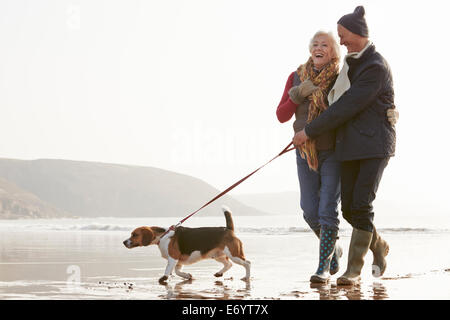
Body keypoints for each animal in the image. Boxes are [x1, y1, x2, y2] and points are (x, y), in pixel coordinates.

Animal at [122, 206, 250, 284]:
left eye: (134, 234)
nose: (124, 242)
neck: (162, 235)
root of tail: (228, 229)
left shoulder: (173, 258)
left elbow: (168, 270)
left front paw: (164, 278)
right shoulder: (178, 261)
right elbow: (177, 271)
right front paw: (187, 276)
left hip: (234, 254)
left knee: (247, 263)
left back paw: (247, 277)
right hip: (218, 255)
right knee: (229, 264)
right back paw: (219, 273)